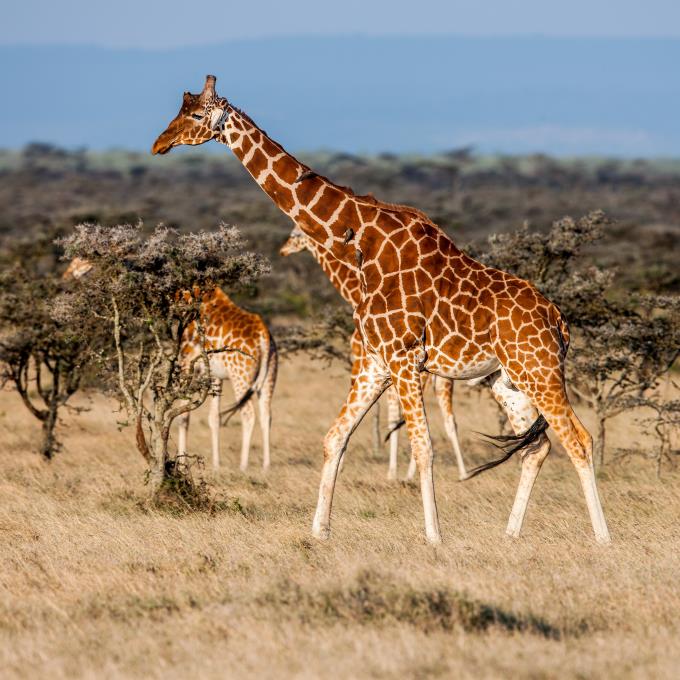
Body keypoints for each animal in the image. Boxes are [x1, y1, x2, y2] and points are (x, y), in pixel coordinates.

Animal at [63, 257, 277, 472]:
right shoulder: (215, 375)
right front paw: (216, 465)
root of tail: (264, 337)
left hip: (240, 375)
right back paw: (266, 465)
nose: (66, 276)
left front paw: (182, 464)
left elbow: (182, 417)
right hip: (268, 377)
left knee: (248, 415)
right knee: (267, 415)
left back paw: (243, 466)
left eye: (83, 259)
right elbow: (213, 418)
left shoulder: (186, 363)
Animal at [279, 226, 468, 481]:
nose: (282, 250)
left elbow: (387, 416)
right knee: (451, 420)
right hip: (444, 380)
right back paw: (463, 473)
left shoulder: (364, 361)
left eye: (294, 235)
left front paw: (387, 471)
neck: (354, 294)